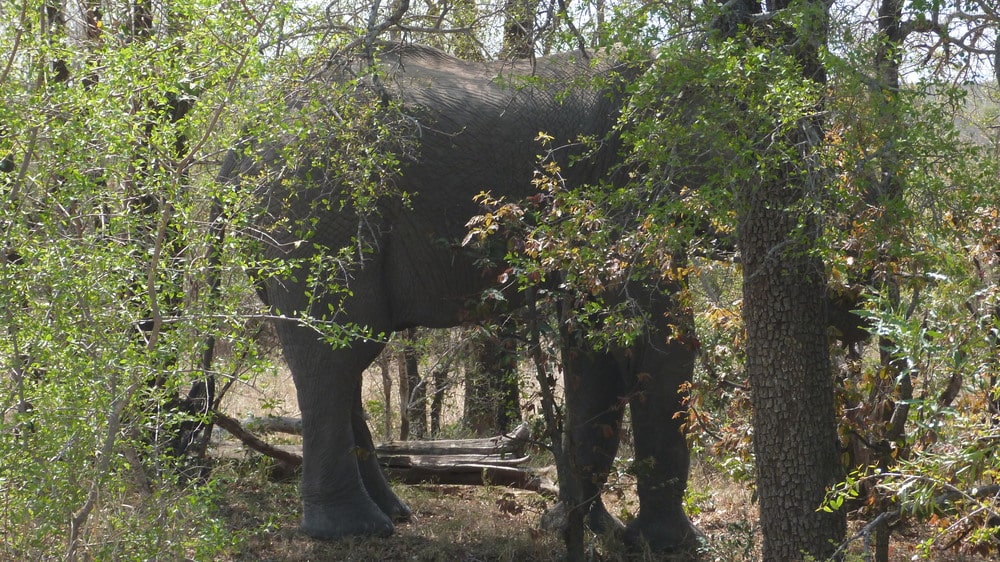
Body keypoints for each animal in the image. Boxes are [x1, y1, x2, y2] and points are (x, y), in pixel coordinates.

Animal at [219, 42, 700, 551]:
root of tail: (246, 134)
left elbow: (596, 346)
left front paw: (585, 529)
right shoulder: (633, 181)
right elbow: (654, 338)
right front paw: (671, 546)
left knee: (343, 356)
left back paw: (393, 513)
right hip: (319, 213)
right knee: (335, 354)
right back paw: (355, 529)